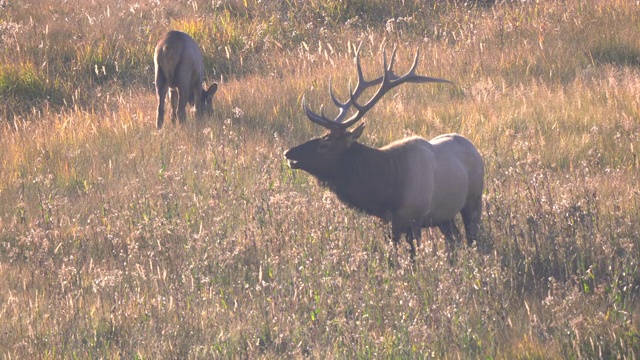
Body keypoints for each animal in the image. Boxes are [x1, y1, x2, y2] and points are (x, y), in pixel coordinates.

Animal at [284, 46, 484, 258]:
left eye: (325, 145)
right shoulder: (387, 222)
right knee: (454, 238)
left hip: (473, 200)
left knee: (471, 236)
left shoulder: (415, 219)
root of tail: (473, 147)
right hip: (444, 216)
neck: (388, 189)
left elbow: (413, 255)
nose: (288, 152)